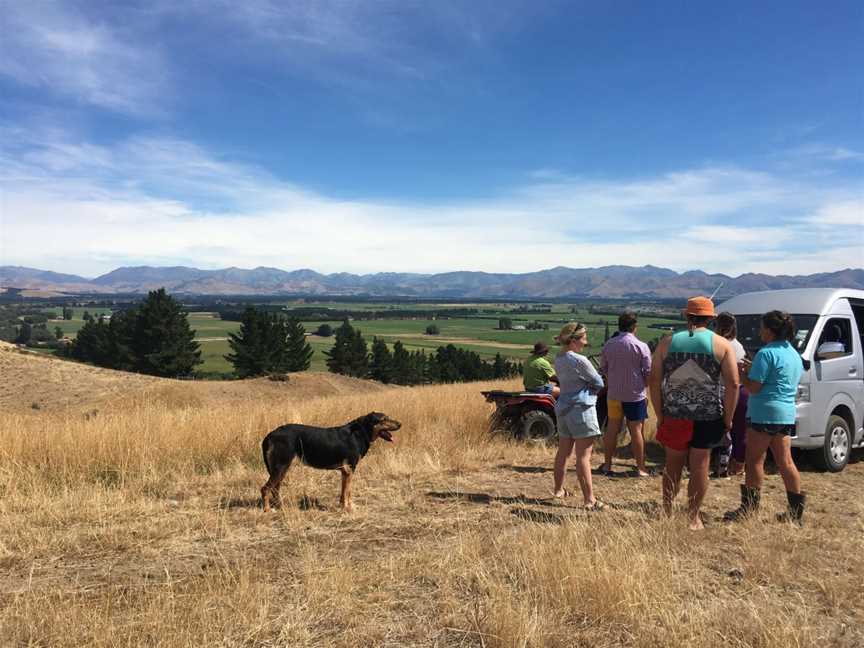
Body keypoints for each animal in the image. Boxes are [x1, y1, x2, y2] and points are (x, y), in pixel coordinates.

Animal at [260, 412, 402, 512]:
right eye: (384, 419)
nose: (400, 424)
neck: (360, 433)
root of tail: (270, 435)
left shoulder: (345, 472)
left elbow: (344, 492)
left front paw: (344, 506)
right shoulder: (349, 470)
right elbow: (348, 492)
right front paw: (349, 508)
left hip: (282, 468)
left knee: (275, 489)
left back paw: (281, 506)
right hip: (281, 467)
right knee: (265, 489)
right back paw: (267, 510)